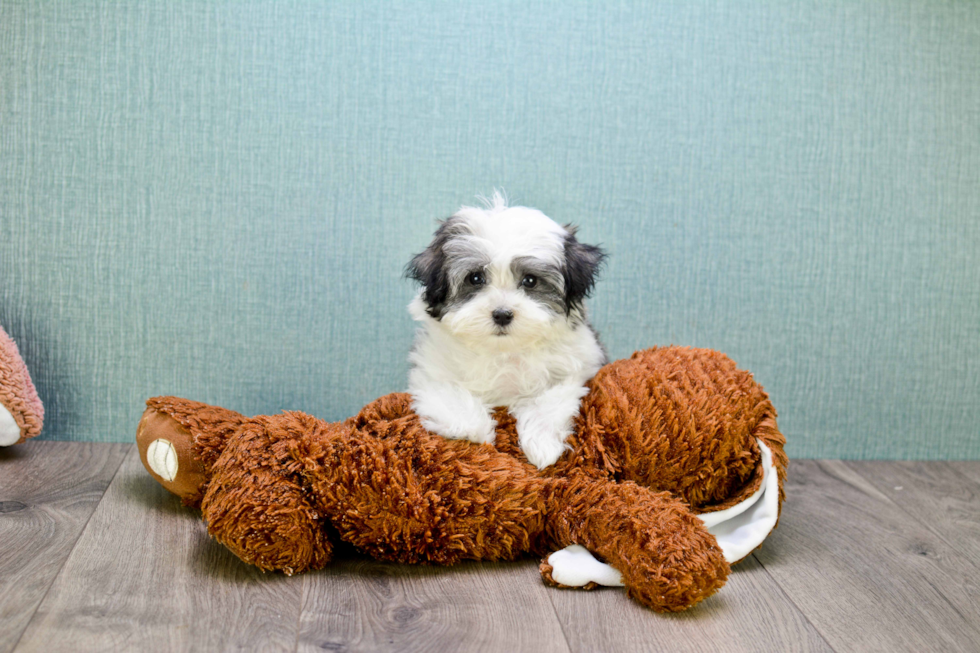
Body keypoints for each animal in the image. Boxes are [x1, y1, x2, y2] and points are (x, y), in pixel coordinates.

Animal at [406, 194, 604, 468]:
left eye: (530, 281)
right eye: (475, 278)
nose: (502, 314)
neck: (503, 351)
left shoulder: (577, 368)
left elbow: (550, 400)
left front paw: (542, 445)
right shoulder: (431, 370)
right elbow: (448, 391)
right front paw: (472, 428)